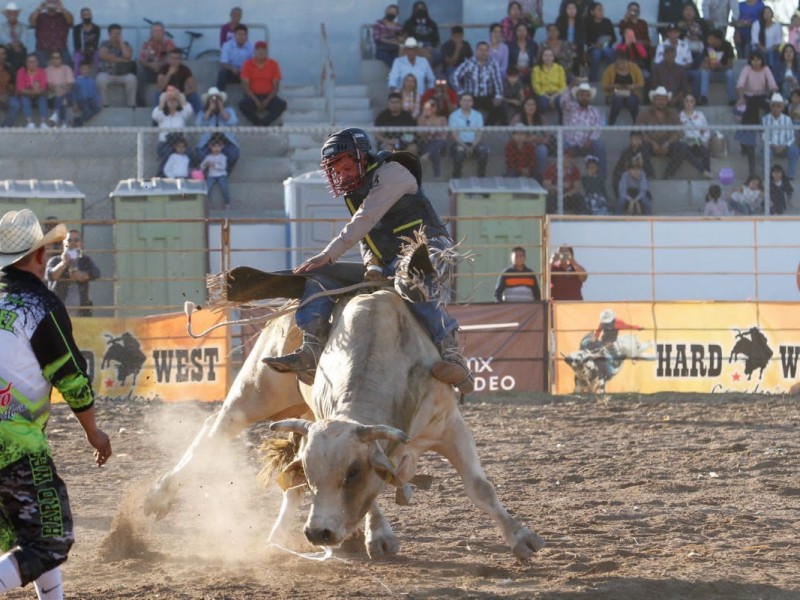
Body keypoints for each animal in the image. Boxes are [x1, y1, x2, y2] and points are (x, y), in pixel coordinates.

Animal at [144, 288, 544, 560]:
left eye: (352, 472)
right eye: (313, 472)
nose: (319, 533)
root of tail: (283, 309)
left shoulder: (449, 427)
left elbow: (480, 487)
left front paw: (522, 538)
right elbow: (373, 492)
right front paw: (378, 536)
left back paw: (280, 532)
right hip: (254, 391)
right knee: (215, 429)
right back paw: (159, 495)